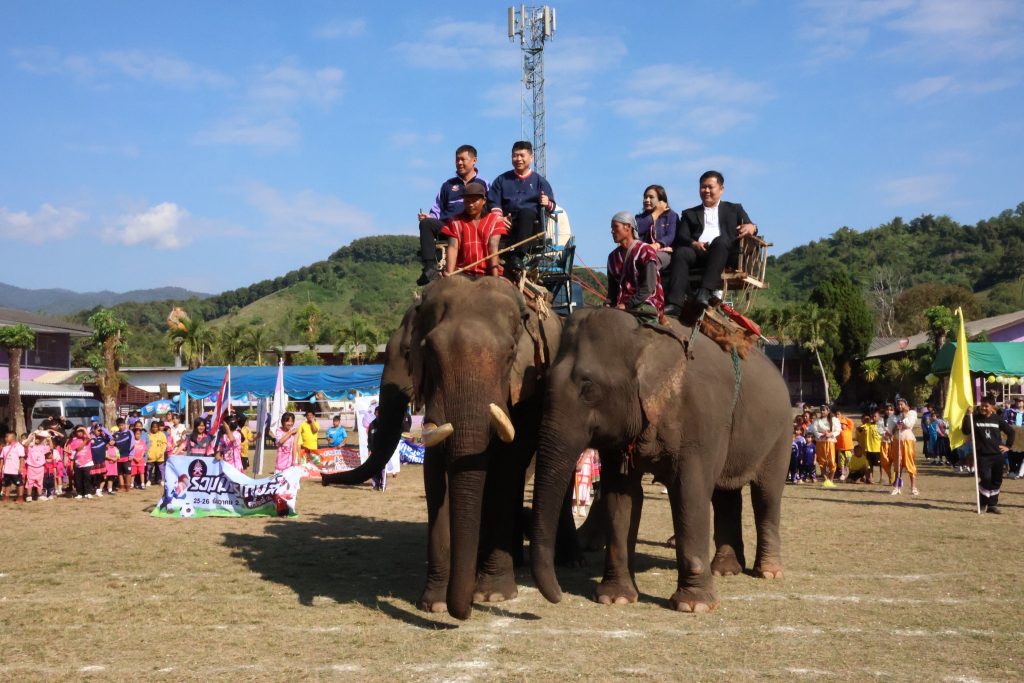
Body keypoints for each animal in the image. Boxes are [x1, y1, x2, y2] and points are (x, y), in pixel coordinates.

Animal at [322, 275, 571, 620]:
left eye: (510, 353)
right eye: (427, 351)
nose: (323, 478)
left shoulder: (524, 389)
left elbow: (506, 467)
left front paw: (493, 595)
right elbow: (436, 470)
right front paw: (435, 604)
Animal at [529, 306, 791, 613]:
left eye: (588, 387)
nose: (558, 595)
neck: (646, 337)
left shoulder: (700, 419)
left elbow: (690, 493)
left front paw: (694, 606)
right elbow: (622, 496)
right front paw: (615, 598)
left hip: (781, 434)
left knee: (766, 495)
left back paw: (768, 572)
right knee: (725, 494)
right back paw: (725, 569)